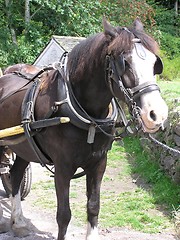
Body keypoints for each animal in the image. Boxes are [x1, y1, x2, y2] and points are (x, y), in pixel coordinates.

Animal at [0, 19, 169, 240]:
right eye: (124, 63)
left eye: (154, 64)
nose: (157, 114)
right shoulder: (62, 167)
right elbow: (64, 215)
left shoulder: (98, 163)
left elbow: (93, 206)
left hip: (23, 147)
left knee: (16, 174)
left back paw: (18, 221)